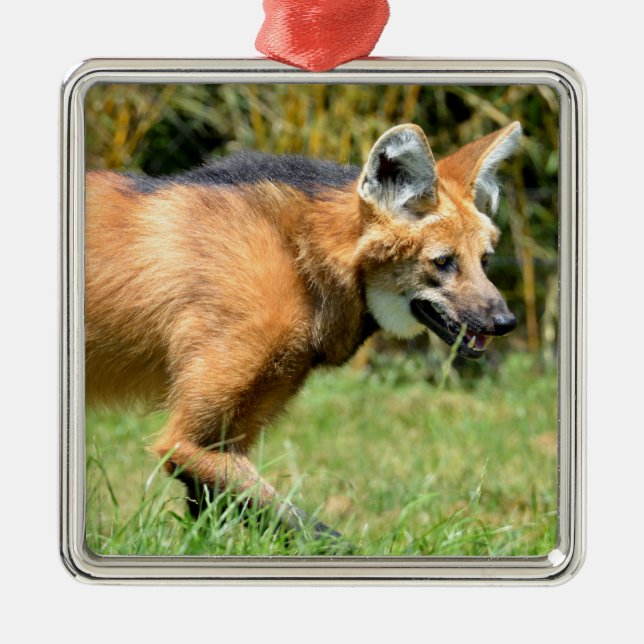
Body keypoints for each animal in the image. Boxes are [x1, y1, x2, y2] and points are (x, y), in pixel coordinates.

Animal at [85, 121, 521, 535]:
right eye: (443, 262)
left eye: (485, 260)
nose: (506, 322)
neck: (299, 260)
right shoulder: (189, 442)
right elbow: (317, 533)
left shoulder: (223, 442)